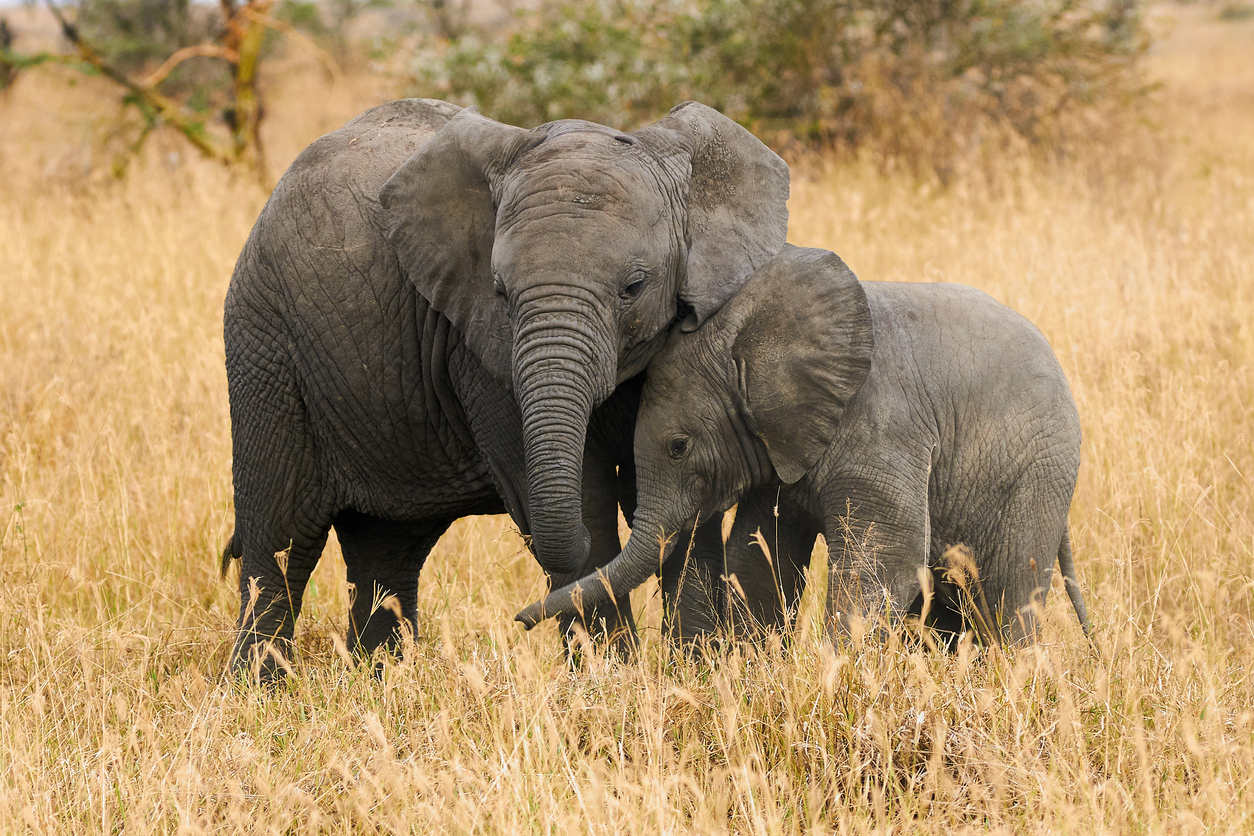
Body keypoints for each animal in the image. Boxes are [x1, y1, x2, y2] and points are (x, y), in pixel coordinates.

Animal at [220, 98, 787, 676]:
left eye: (634, 287)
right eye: (500, 292)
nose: (519, 620)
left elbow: (688, 501)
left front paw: (702, 671)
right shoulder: (478, 351)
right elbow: (588, 502)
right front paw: (611, 679)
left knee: (386, 550)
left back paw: (381, 679)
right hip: (265, 346)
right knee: (281, 539)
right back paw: (260, 687)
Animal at [514, 241, 1093, 646]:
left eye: (679, 446)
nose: (519, 620)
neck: (752, 335)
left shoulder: (881, 426)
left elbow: (886, 562)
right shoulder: (777, 445)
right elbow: (758, 556)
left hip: (1038, 474)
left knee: (1009, 597)